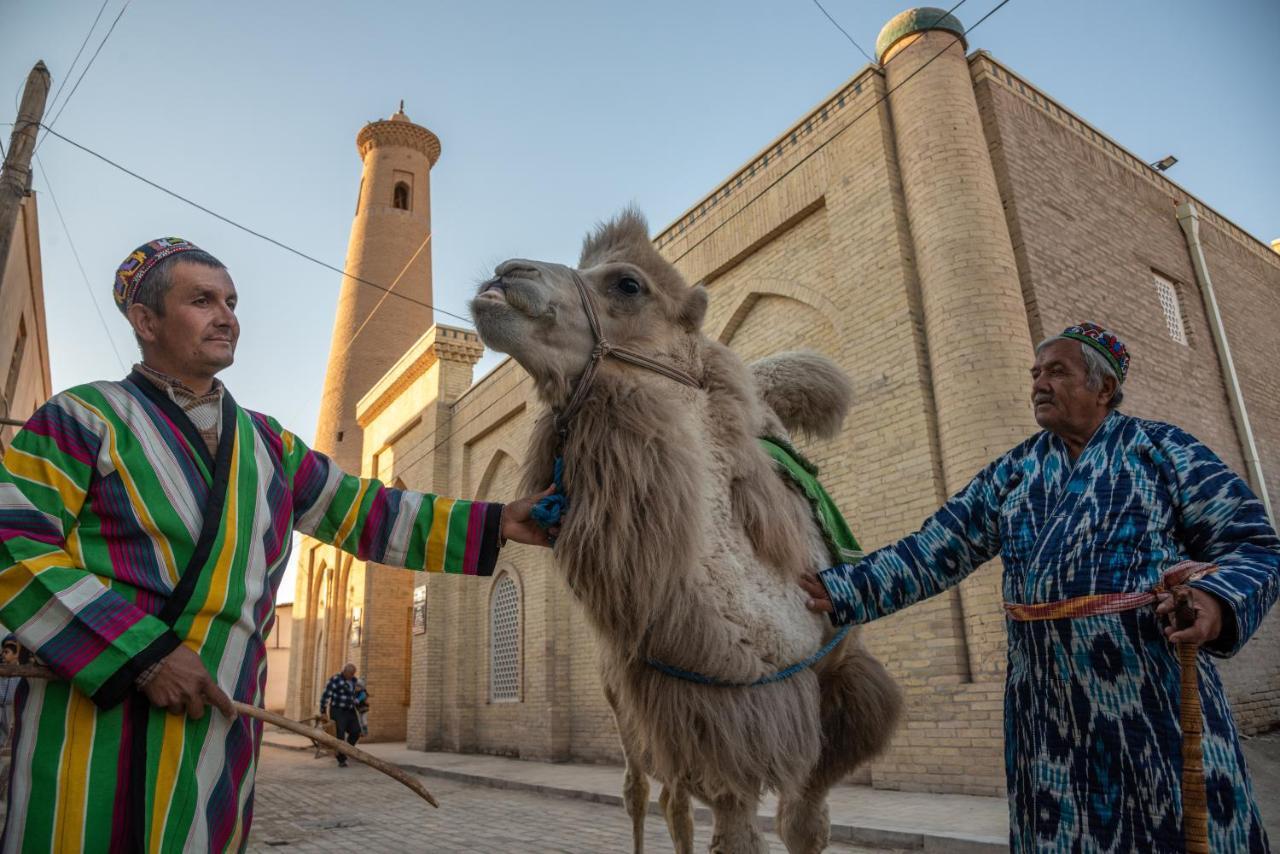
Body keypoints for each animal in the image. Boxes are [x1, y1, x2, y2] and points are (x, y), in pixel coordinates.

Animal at [471, 208, 901, 854]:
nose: (505, 274)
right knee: (644, 792)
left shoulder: (830, 695)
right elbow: (730, 825)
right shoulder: (718, 714)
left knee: (673, 798)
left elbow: (804, 825)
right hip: (625, 695)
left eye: (628, 284)